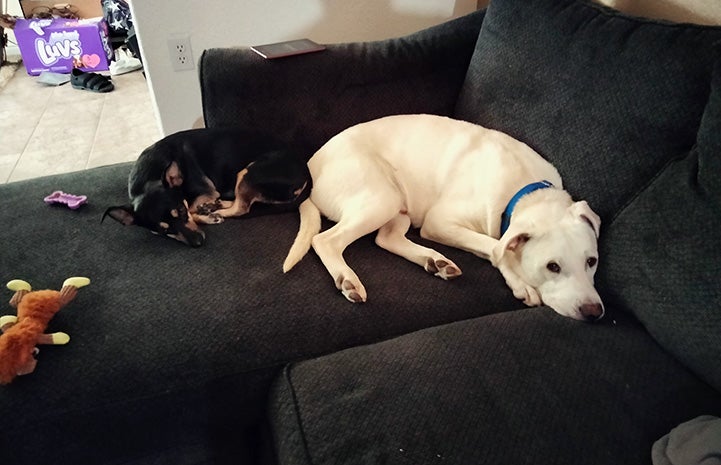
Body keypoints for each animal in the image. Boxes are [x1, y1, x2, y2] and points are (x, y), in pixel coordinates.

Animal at [103, 125, 310, 245]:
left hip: (248, 173)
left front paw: (208, 217)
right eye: (163, 231)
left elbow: (192, 210)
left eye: (181, 211)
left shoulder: (205, 192)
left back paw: (217, 211)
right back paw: (217, 206)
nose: (198, 242)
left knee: (241, 208)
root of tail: (306, 173)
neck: (148, 176)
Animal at [282, 114, 600, 320]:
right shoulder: (441, 222)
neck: (525, 190)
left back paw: (435, 261)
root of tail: (311, 165)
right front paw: (521, 282)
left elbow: (493, 246)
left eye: (592, 261)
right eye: (552, 267)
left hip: (400, 204)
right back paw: (347, 279)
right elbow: (495, 247)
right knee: (325, 240)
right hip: (382, 198)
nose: (595, 312)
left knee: (387, 238)